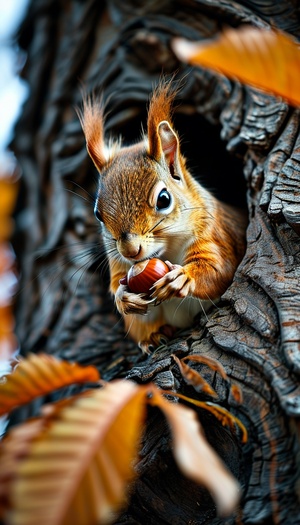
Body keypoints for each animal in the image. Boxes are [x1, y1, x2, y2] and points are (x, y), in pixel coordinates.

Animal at [78, 81, 247, 352]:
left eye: (164, 199)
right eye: (98, 214)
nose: (130, 251)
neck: (167, 249)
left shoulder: (215, 234)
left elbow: (219, 270)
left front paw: (183, 277)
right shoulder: (117, 262)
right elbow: (115, 285)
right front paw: (123, 297)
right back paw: (155, 336)